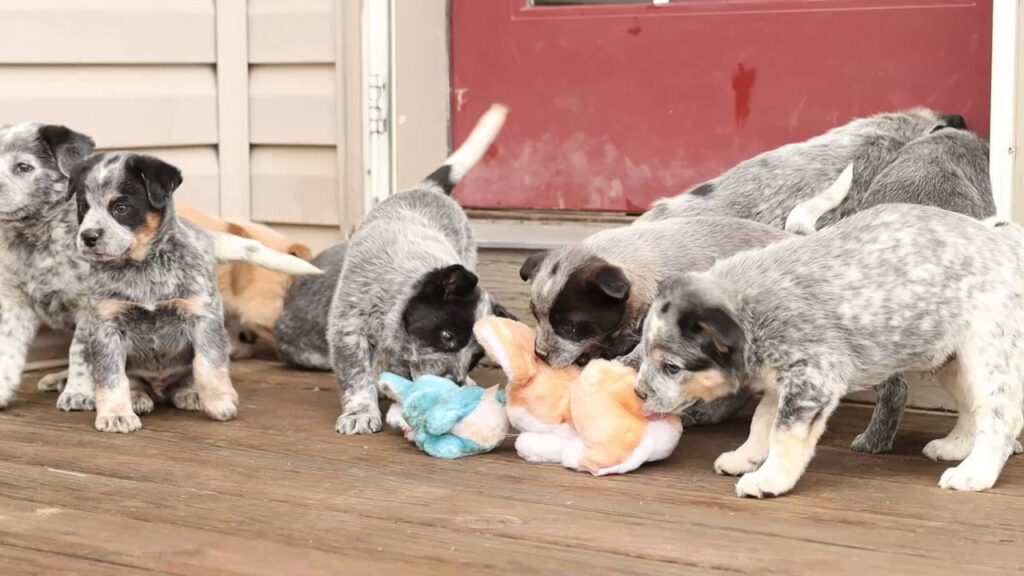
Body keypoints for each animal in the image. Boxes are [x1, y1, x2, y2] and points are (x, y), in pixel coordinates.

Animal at [69, 152, 239, 430]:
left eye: (121, 207)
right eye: (83, 207)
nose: (88, 236)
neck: (143, 268)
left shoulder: (203, 313)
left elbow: (209, 365)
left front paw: (220, 402)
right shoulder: (107, 325)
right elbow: (111, 377)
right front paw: (115, 415)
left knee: (187, 377)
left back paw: (191, 393)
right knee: (133, 382)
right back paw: (138, 398)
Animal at [630, 203, 1024, 496]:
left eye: (672, 367)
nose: (638, 394)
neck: (749, 308)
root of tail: (1007, 243)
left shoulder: (812, 379)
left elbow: (784, 433)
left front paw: (770, 479)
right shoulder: (781, 381)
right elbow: (762, 423)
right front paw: (746, 458)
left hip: (988, 355)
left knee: (1001, 417)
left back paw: (974, 474)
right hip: (954, 363)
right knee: (973, 408)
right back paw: (955, 447)